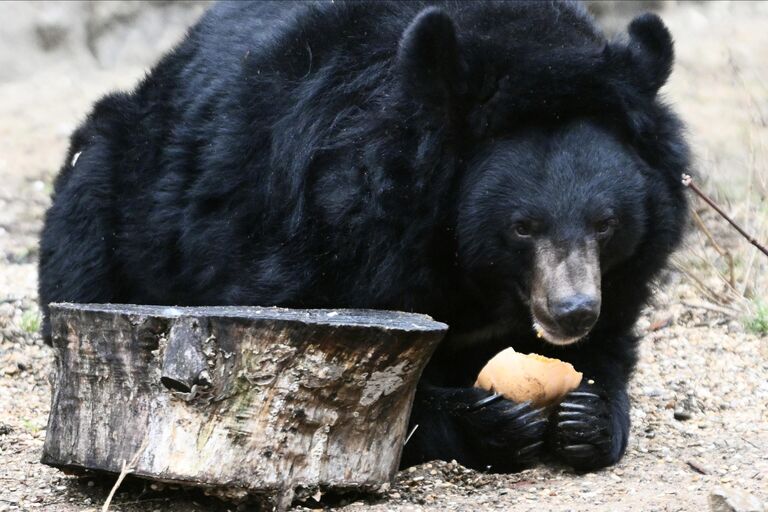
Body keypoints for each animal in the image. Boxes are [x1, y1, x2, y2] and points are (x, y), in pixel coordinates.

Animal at [39, 1, 688, 472]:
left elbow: (613, 344)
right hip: (117, 176)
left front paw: (588, 417)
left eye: (606, 224)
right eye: (522, 227)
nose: (572, 312)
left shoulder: (624, 271)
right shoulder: (325, 231)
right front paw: (493, 423)